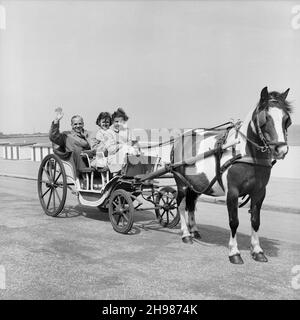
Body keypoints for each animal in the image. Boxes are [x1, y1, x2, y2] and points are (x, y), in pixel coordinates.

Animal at [172, 86, 292, 264]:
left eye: (287, 119)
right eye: (265, 118)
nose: (281, 150)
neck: (245, 153)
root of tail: (180, 138)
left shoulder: (259, 192)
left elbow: (256, 221)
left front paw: (257, 250)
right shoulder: (233, 192)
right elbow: (234, 222)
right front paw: (234, 252)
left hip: (196, 185)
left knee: (191, 205)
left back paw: (194, 230)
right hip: (181, 183)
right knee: (180, 205)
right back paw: (186, 234)